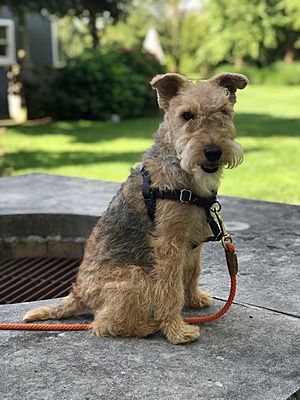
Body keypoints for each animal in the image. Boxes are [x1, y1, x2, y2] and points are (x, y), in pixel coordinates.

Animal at [24, 72, 248, 344]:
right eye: (187, 115)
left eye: (224, 111)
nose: (213, 152)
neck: (184, 177)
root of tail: (79, 293)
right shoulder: (169, 245)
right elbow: (171, 291)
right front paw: (176, 329)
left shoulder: (193, 242)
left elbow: (193, 272)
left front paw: (195, 299)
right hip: (138, 278)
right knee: (103, 324)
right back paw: (149, 325)